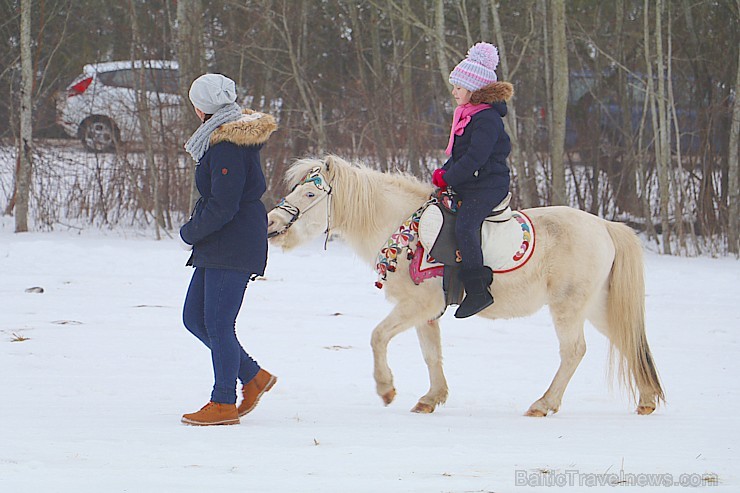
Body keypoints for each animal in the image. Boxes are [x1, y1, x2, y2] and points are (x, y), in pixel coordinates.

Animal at [268, 155, 664, 416]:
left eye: (309, 195)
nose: (271, 223)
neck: (404, 230)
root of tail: (605, 226)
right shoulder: (426, 313)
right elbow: (431, 354)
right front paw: (431, 398)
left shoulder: (417, 307)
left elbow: (378, 337)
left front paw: (386, 389)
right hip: (595, 306)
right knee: (626, 339)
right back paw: (645, 401)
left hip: (568, 307)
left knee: (574, 352)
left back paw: (543, 404)